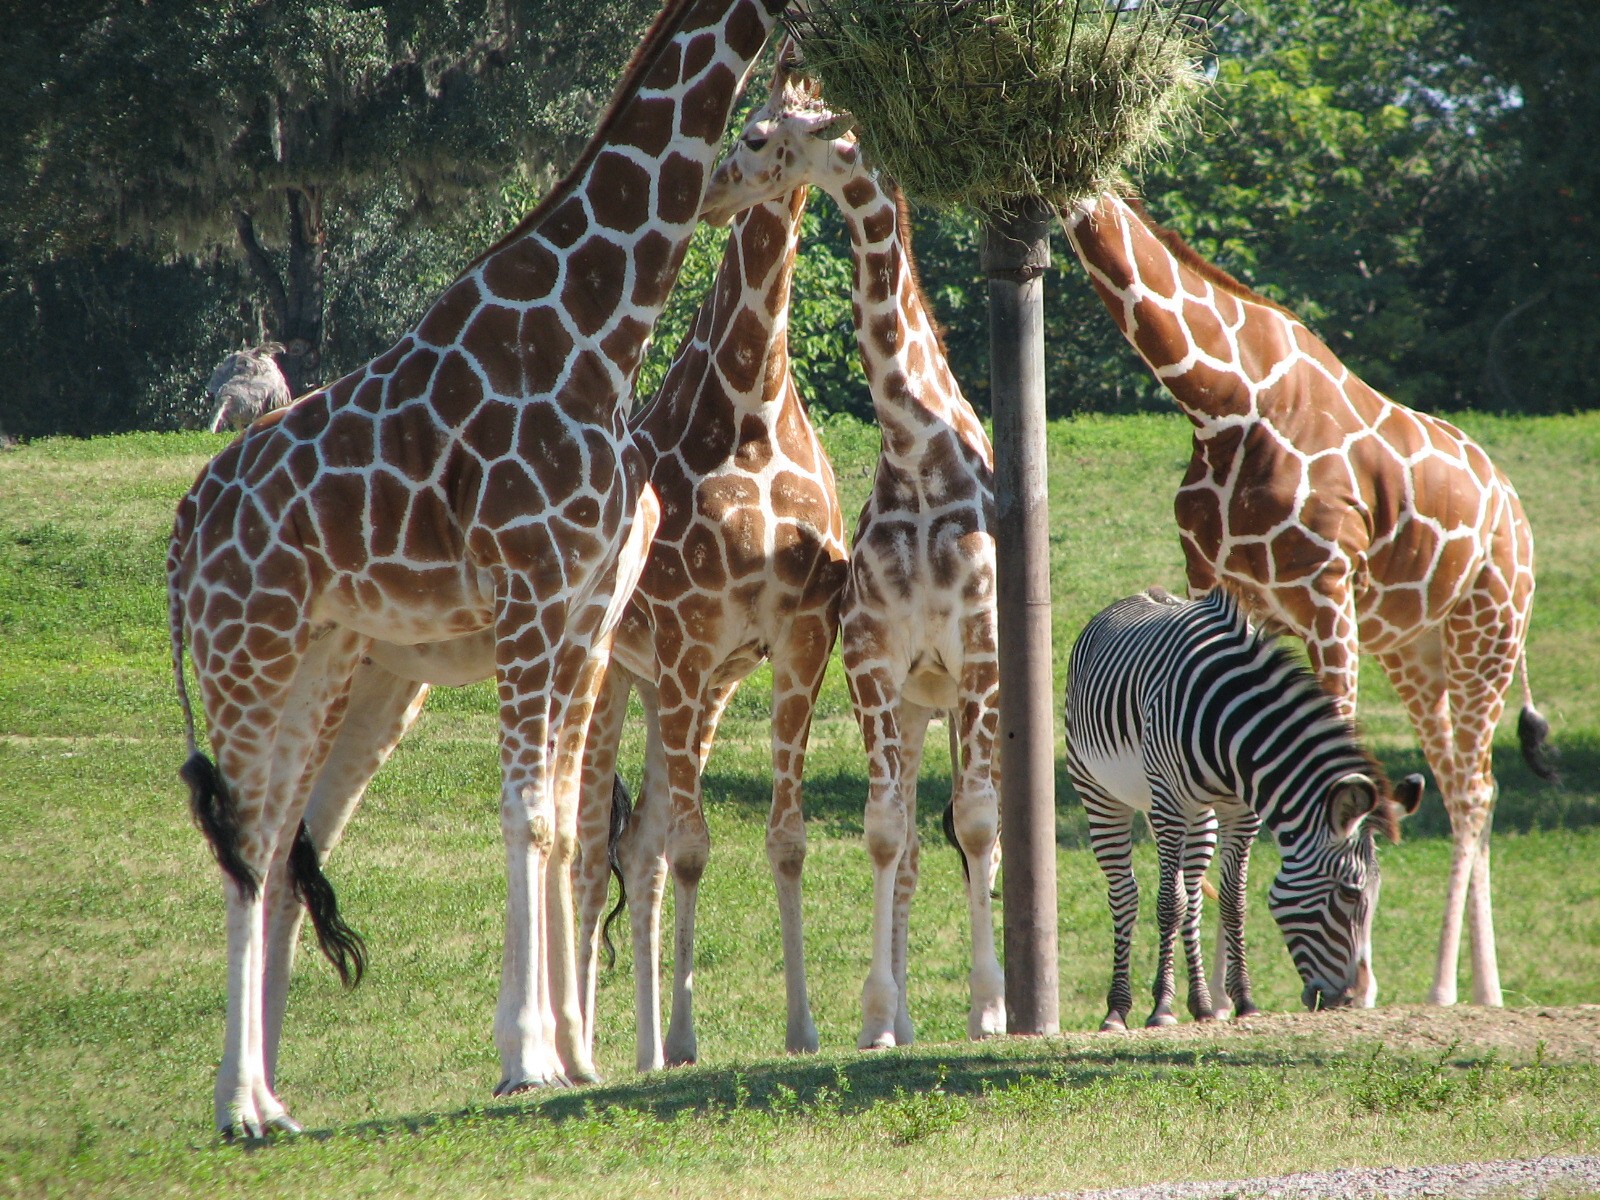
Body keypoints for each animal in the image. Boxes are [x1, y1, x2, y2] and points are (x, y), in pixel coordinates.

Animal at [168, 0, 784, 1136]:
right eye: (760, 130)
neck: (597, 326)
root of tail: (184, 529)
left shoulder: (582, 613)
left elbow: (562, 822)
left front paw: (559, 1053)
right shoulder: (535, 597)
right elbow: (529, 814)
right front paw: (528, 1056)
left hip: (314, 662)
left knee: (271, 841)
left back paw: (271, 1101)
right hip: (249, 654)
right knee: (247, 841)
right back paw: (238, 1106)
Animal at [569, 91, 850, 1070]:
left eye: (764, 138)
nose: (714, 195)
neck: (751, 413)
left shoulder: (797, 640)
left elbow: (786, 840)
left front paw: (803, 1029)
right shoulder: (688, 639)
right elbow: (693, 850)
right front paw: (688, 1040)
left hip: (687, 690)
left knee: (640, 846)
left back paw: (642, 1054)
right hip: (617, 676)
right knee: (592, 850)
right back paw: (582, 1055)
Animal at [701, 73, 1006, 1049]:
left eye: (759, 137)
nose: (710, 191)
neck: (917, 454)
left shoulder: (980, 653)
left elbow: (977, 829)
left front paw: (991, 1008)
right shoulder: (874, 660)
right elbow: (883, 833)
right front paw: (877, 1018)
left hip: (969, 696)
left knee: (983, 830)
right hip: (916, 701)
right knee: (910, 840)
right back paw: (906, 1014)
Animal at [1057, 190, 1556, 1009]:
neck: (1225, 401)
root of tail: (1513, 506)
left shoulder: (1327, 593)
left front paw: (1352, 980)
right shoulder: (1215, 584)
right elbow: (1219, 813)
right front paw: (1219, 995)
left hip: (1486, 630)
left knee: (1478, 790)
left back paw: (1456, 988)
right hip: (1413, 651)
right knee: (1456, 782)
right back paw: (1471, 986)